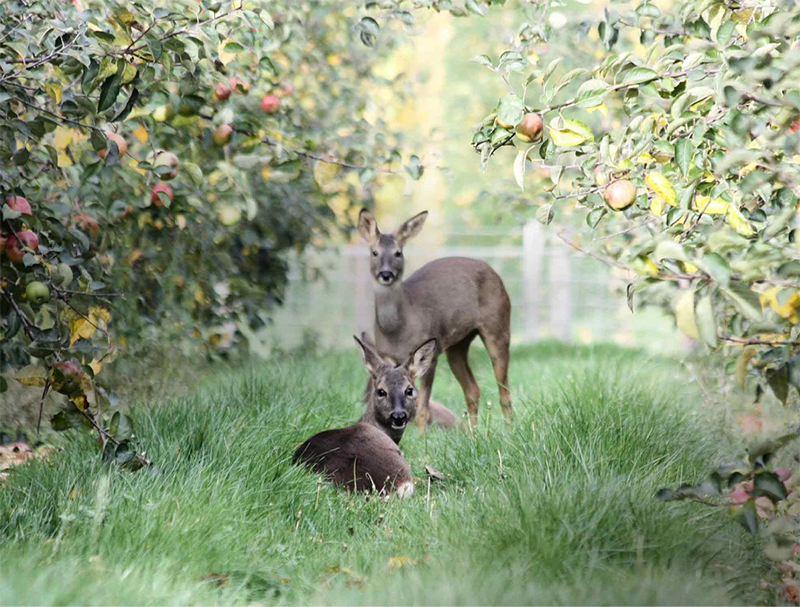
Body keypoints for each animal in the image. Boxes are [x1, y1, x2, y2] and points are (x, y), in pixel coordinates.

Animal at [357, 209, 512, 428]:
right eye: (374, 252)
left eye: (398, 252)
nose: (386, 274)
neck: (397, 330)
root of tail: (494, 273)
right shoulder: (386, 356)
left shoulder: (430, 354)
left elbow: (422, 408)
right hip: (458, 344)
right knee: (472, 389)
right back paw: (473, 432)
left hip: (497, 325)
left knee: (504, 391)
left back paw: (508, 429)